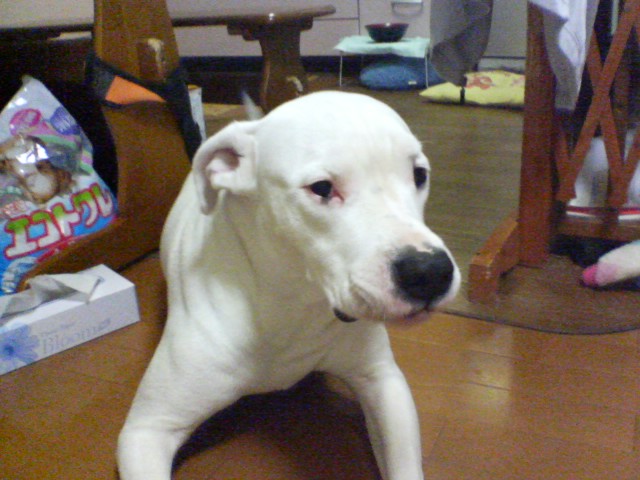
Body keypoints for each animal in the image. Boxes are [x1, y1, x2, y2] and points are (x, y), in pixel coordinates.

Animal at [117, 91, 460, 480]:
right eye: (322, 188)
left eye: (419, 174)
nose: (430, 271)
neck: (291, 305)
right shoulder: (148, 429)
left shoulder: (382, 380)